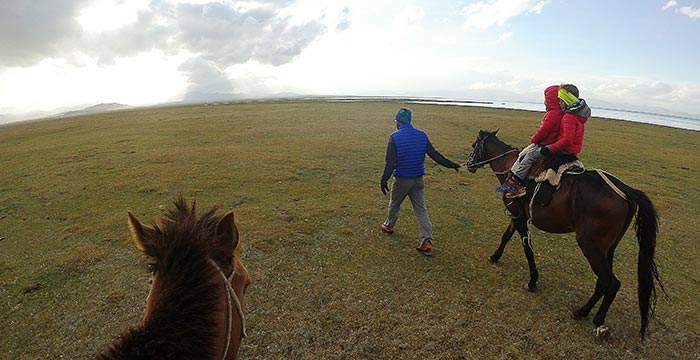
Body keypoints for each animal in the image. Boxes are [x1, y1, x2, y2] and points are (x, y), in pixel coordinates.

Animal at [468, 129, 664, 340]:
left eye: (473, 146)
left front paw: (532, 281)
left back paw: (598, 321)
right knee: (602, 281)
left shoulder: (519, 217)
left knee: (611, 283)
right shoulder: (517, 214)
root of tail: (627, 191)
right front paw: (495, 257)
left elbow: (527, 248)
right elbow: (506, 236)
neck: (510, 166)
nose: (469, 164)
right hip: (607, 248)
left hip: (590, 246)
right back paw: (582, 311)